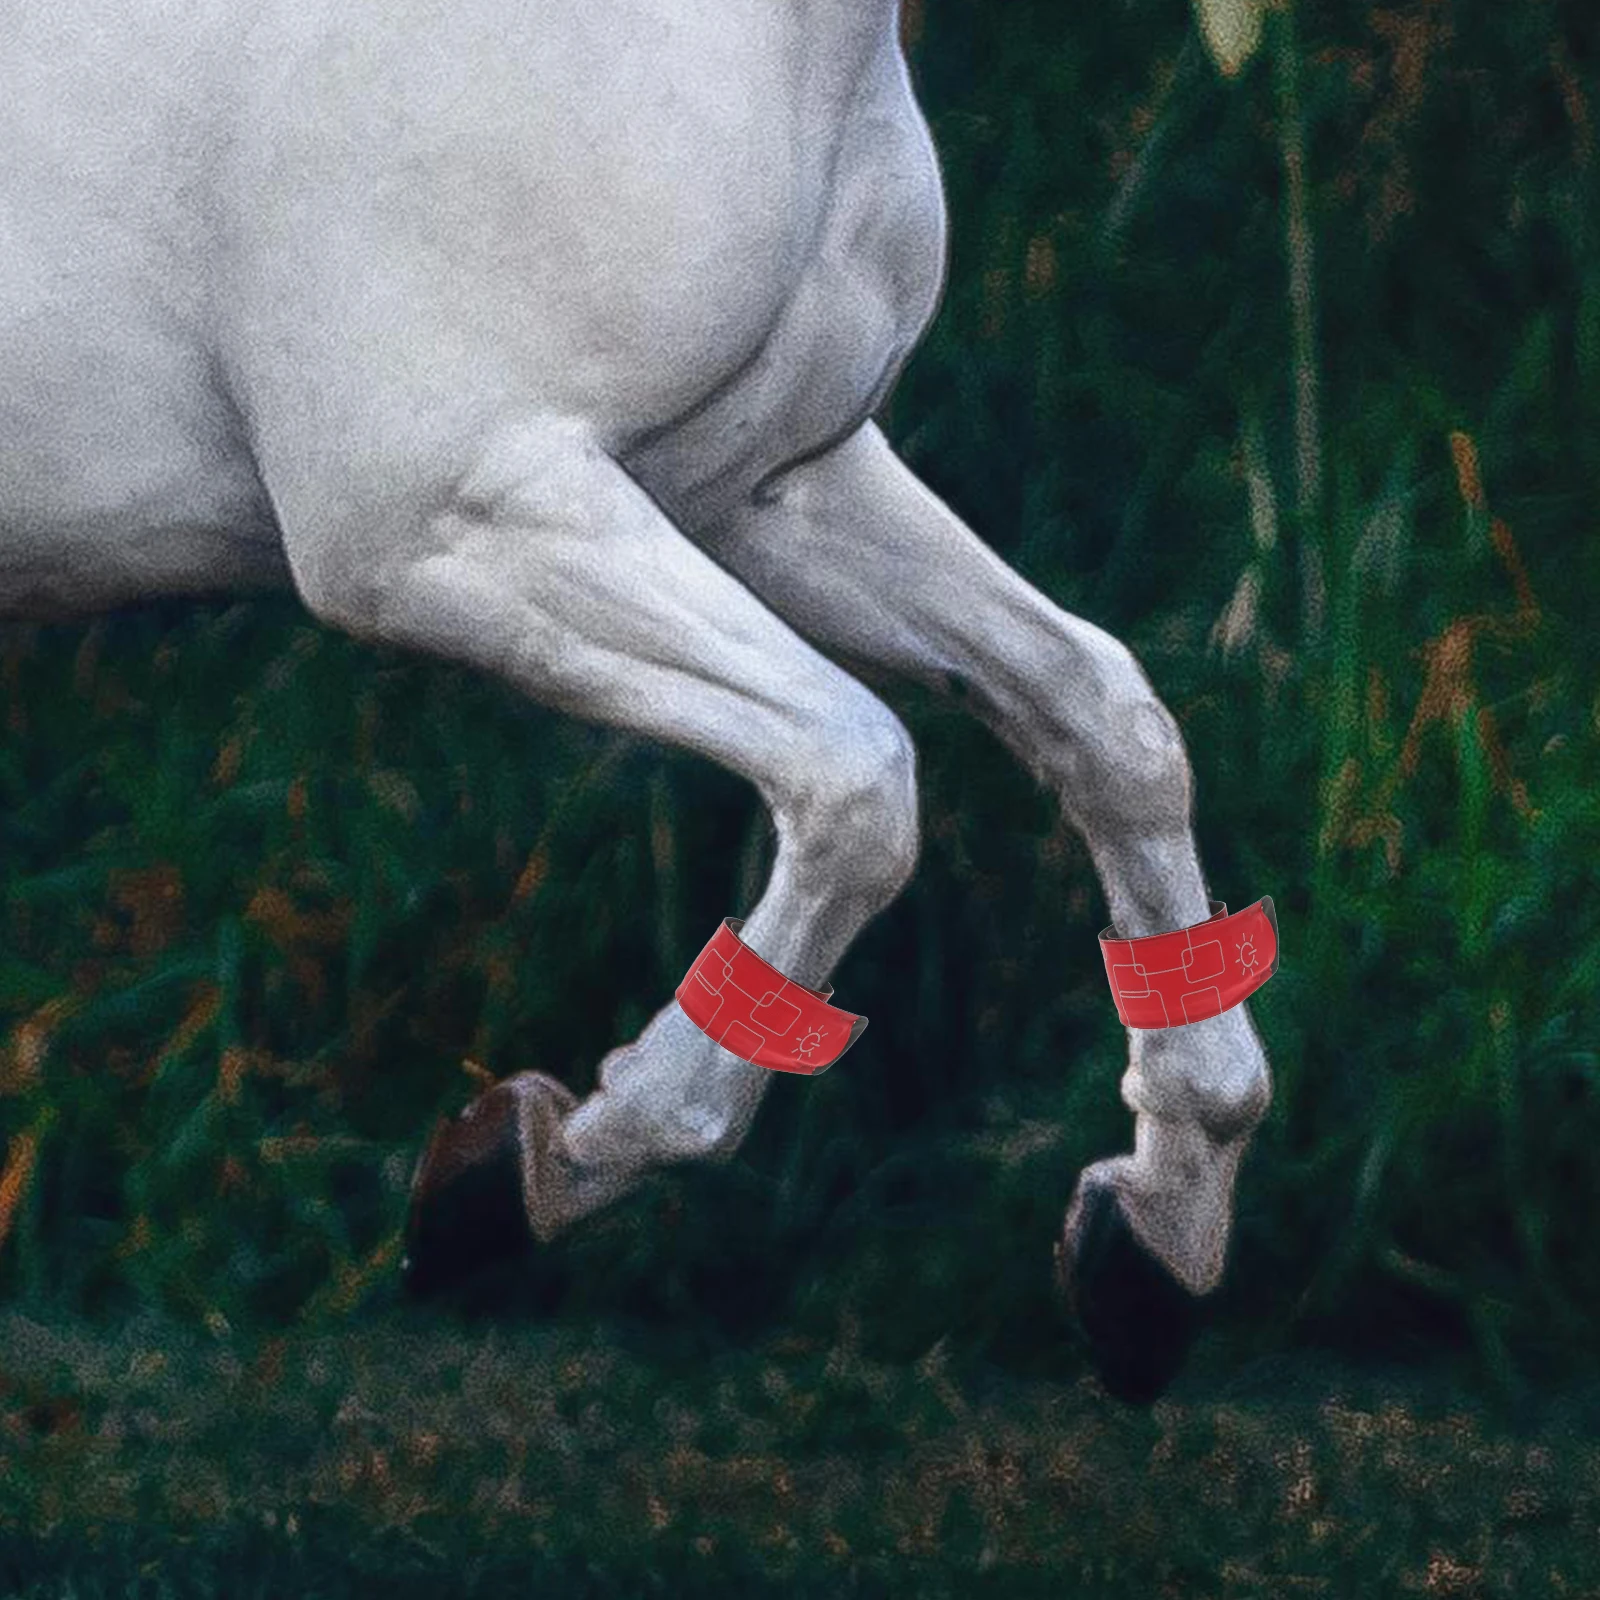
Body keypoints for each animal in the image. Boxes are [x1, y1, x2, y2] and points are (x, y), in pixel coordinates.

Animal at [0, 0, 1270, 1402]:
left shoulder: (762, 487)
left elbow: (1103, 718)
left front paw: (1156, 1232)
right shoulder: (442, 519)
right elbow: (858, 778)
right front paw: (524, 1172)